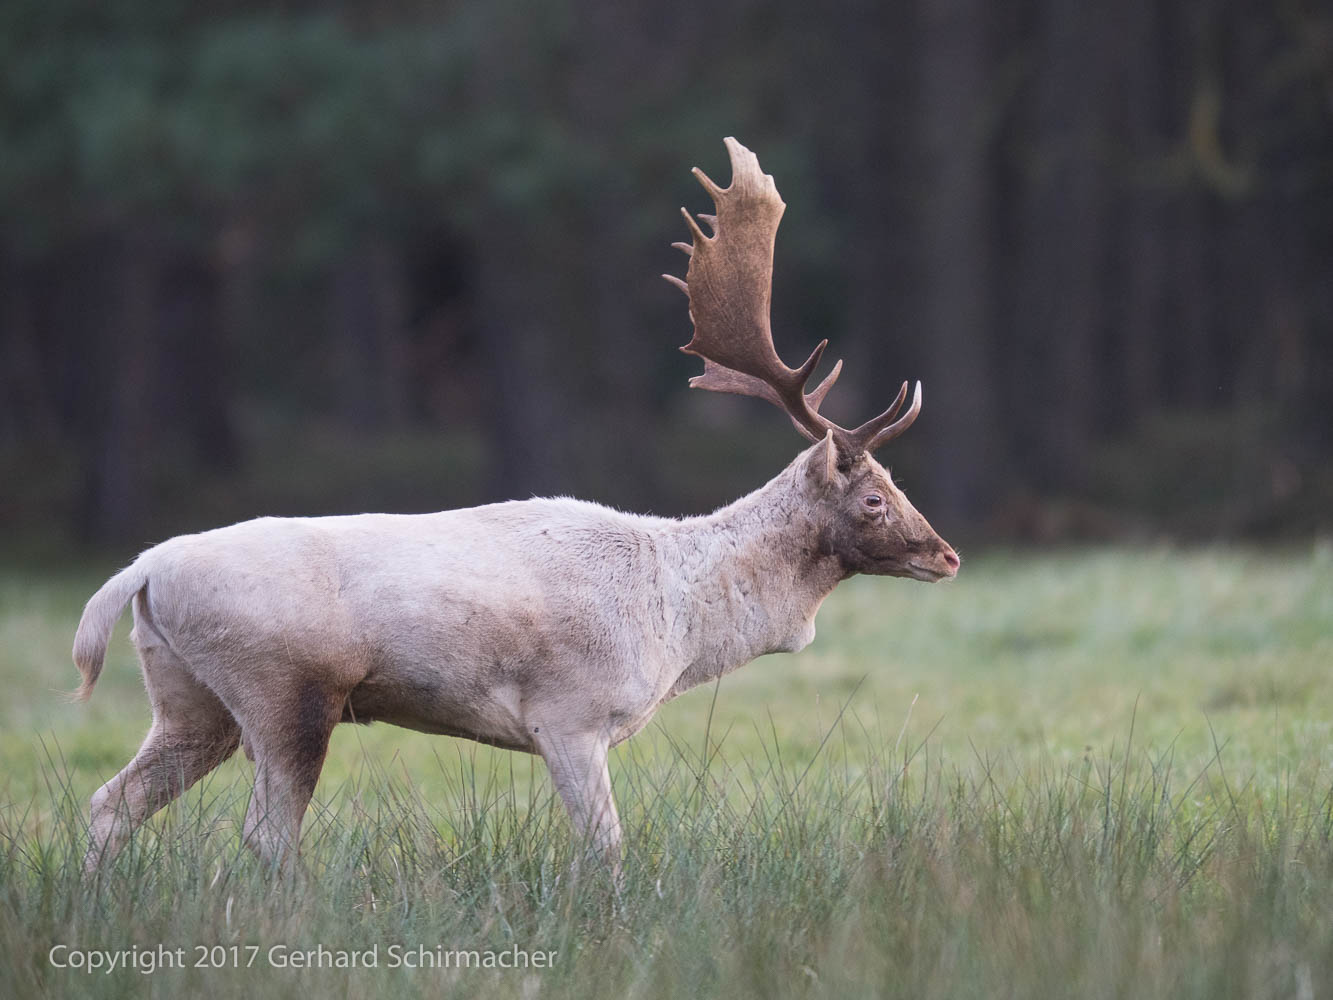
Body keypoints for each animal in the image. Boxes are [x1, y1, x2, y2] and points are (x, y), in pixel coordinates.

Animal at [72, 139, 959, 874]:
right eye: (873, 496)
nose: (945, 554)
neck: (679, 619)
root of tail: (141, 572)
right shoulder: (568, 716)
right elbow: (604, 847)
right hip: (283, 691)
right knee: (265, 832)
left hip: (188, 700)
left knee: (110, 803)